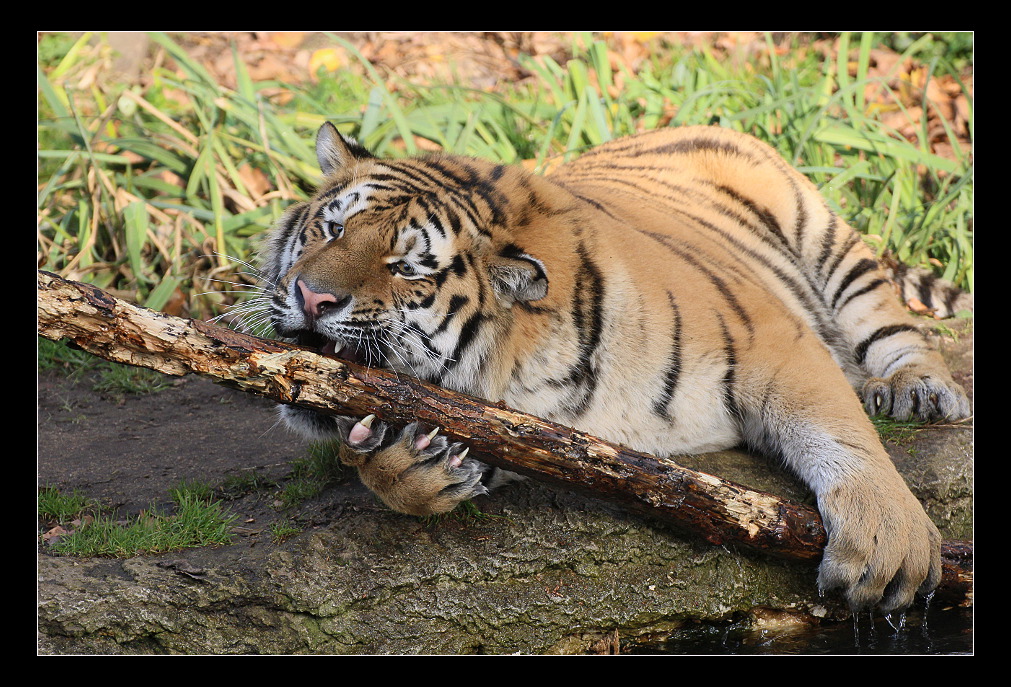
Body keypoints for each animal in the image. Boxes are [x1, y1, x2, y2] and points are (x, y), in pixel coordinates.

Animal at [256, 119, 974, 610]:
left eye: (405, 268)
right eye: (331, 230)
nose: (311, 296)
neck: (523, 361)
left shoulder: (774, 340)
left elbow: (841, 435)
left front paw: (889, 544)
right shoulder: (545, 433)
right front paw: (412, 465)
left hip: (828, 245)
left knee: (892, 327)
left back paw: (917, 389)